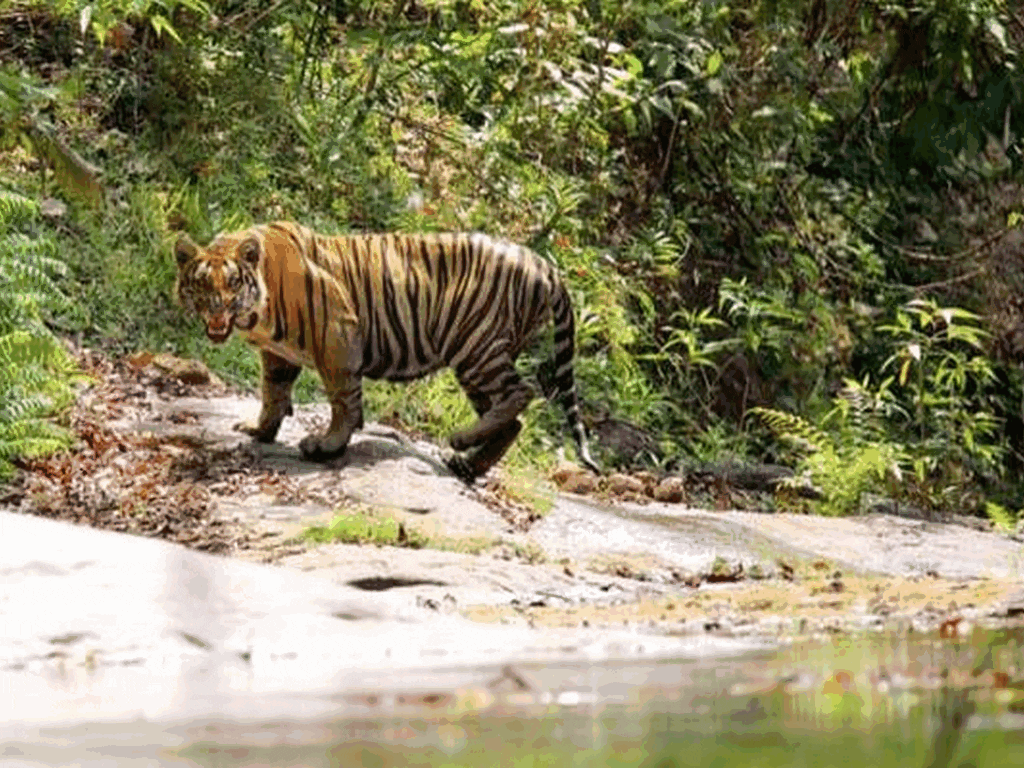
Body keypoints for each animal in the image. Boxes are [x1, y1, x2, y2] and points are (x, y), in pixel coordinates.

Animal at [175, 219, 598, 481]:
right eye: (202, 284)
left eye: (233, 283)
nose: (217, 311)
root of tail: (545, 265)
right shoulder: (278, 354)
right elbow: (273, 393)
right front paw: (260, 430)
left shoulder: (337, 332)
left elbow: (343, 399)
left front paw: (328, 445)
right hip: (477, 360)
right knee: (514, 421)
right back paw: (468, 464)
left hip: (475, 345)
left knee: (521, 392)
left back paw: (460, 441)